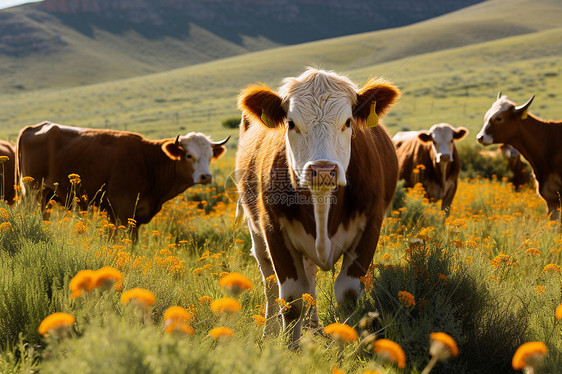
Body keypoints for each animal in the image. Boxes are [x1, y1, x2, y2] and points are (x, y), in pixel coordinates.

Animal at [17, 121, 228, 229]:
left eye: (210, 156)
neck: (148, 161)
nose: (206, 177)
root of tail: (35, 127)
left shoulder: (135, 217)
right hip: (34, 191)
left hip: (45, 196)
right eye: (189, 155)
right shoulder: (121, 210)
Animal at [234, 67, 400, 342]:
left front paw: (348, 346)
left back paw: (312, 325)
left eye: (348, 122)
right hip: (256, 230)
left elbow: (347, 294)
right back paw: (270, 331)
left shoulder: (370, 227)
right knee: (269, 279)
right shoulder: (273, 229)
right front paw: (290, 346)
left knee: (309, 276)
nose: (322, 170)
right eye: (291, 123)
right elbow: (291, 298)